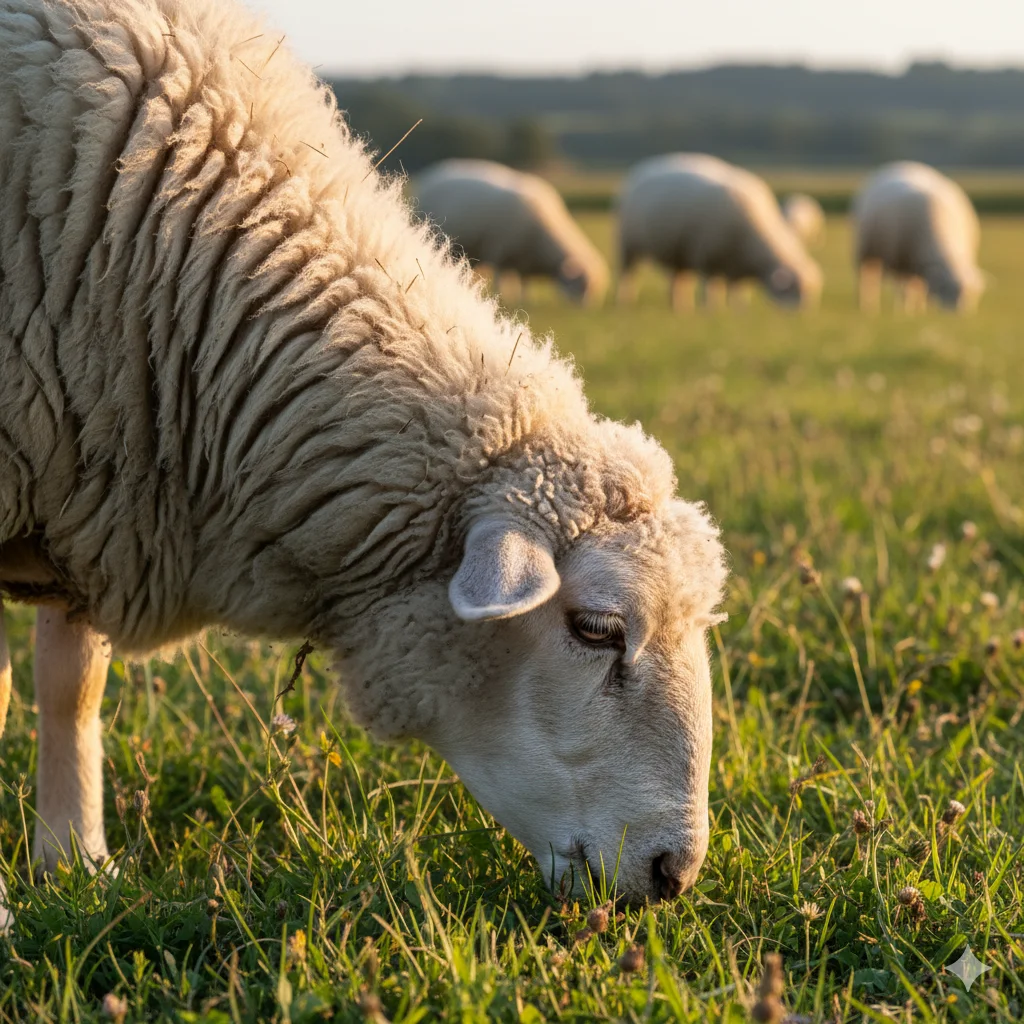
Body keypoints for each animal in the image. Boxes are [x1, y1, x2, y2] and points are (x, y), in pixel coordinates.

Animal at [415, 160, 610, 306]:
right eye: (582, 285)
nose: (585, 309)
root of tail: (432, 174)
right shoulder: (500, 248)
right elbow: (502, 276)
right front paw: (501, 296)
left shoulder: (524, 257)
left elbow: (523, 281)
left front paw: (523, 299)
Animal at [617, 154, 822, 310]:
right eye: (792, 290)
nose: (800, 316)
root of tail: (642, 168)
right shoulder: (707, 257)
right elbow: (711, 287)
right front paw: (711, 309)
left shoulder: (737, 261)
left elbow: (737, 289)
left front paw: (738, 309)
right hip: (627, 243)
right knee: (627, 274)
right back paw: (625, 302)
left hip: (679, 253)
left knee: (678, 281)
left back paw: (680, 307)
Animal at [853, 162, 984, 312]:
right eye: (945, 288)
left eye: (970, 294)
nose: (957, 312)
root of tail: (903, 163)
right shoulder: (904, 261)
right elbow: (907, 290)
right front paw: (906, 311)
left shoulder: (919, 262)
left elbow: (920, 287)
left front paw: (921, 310)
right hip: (867, 252)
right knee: (868, 280)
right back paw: (868, 306)